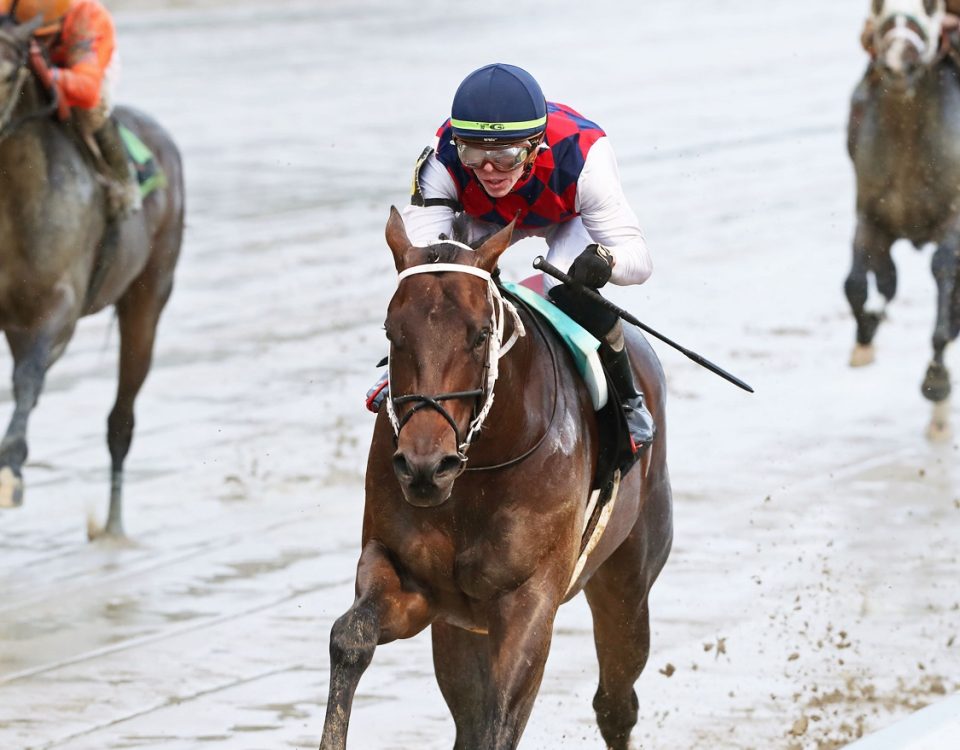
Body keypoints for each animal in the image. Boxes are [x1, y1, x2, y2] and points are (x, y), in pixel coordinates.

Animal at [0, 16, 184, 536]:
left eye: (8, 74)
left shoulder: (57, 304)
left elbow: (28, 378)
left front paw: (10, 470)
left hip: (147, 297)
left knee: (120, 420)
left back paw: (113, 529)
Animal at [318, 209, 672, 750]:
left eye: (481, 334)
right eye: (391, 331)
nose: (425, 466)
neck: (475, 475)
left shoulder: (531, 601)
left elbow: (500, 720)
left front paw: (592, 266)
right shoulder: (413, 584)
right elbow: (349, 637)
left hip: (628, 579)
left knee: (615, 703)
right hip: (462, 631)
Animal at [848, 0, 960, 444]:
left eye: (931, 7)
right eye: (877, 5)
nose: (897, 62)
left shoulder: (953, 223)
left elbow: (943, 274)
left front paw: (937, 383)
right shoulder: (870, 216)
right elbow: (857, 283)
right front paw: (864, 339)